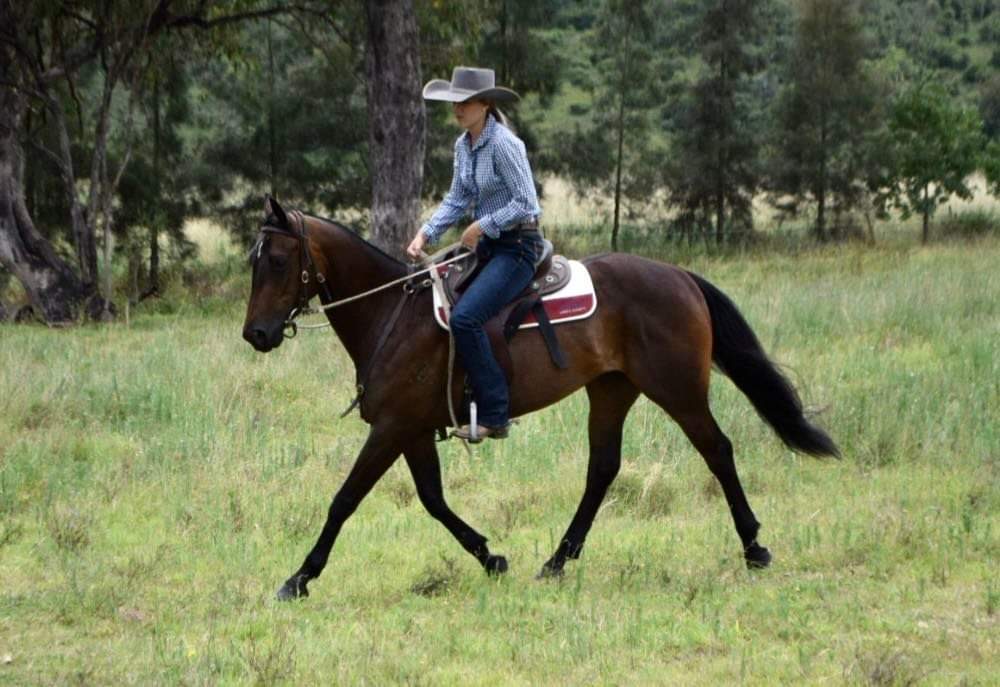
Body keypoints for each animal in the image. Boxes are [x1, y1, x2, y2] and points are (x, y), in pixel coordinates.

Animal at [243, 197, 838, 600]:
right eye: (254, 260)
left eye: (278, 261)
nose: (256, 334)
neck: (393, 314)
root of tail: (679, 277)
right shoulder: (410, 430)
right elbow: (433, 499)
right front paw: (491, 557)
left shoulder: (390, 427)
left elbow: (344, 499)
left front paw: (299, 577)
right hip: (611, 391)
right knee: (603, 469)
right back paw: (557, 561)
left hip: (679, 390)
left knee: (717, 450)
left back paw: (754, 548)